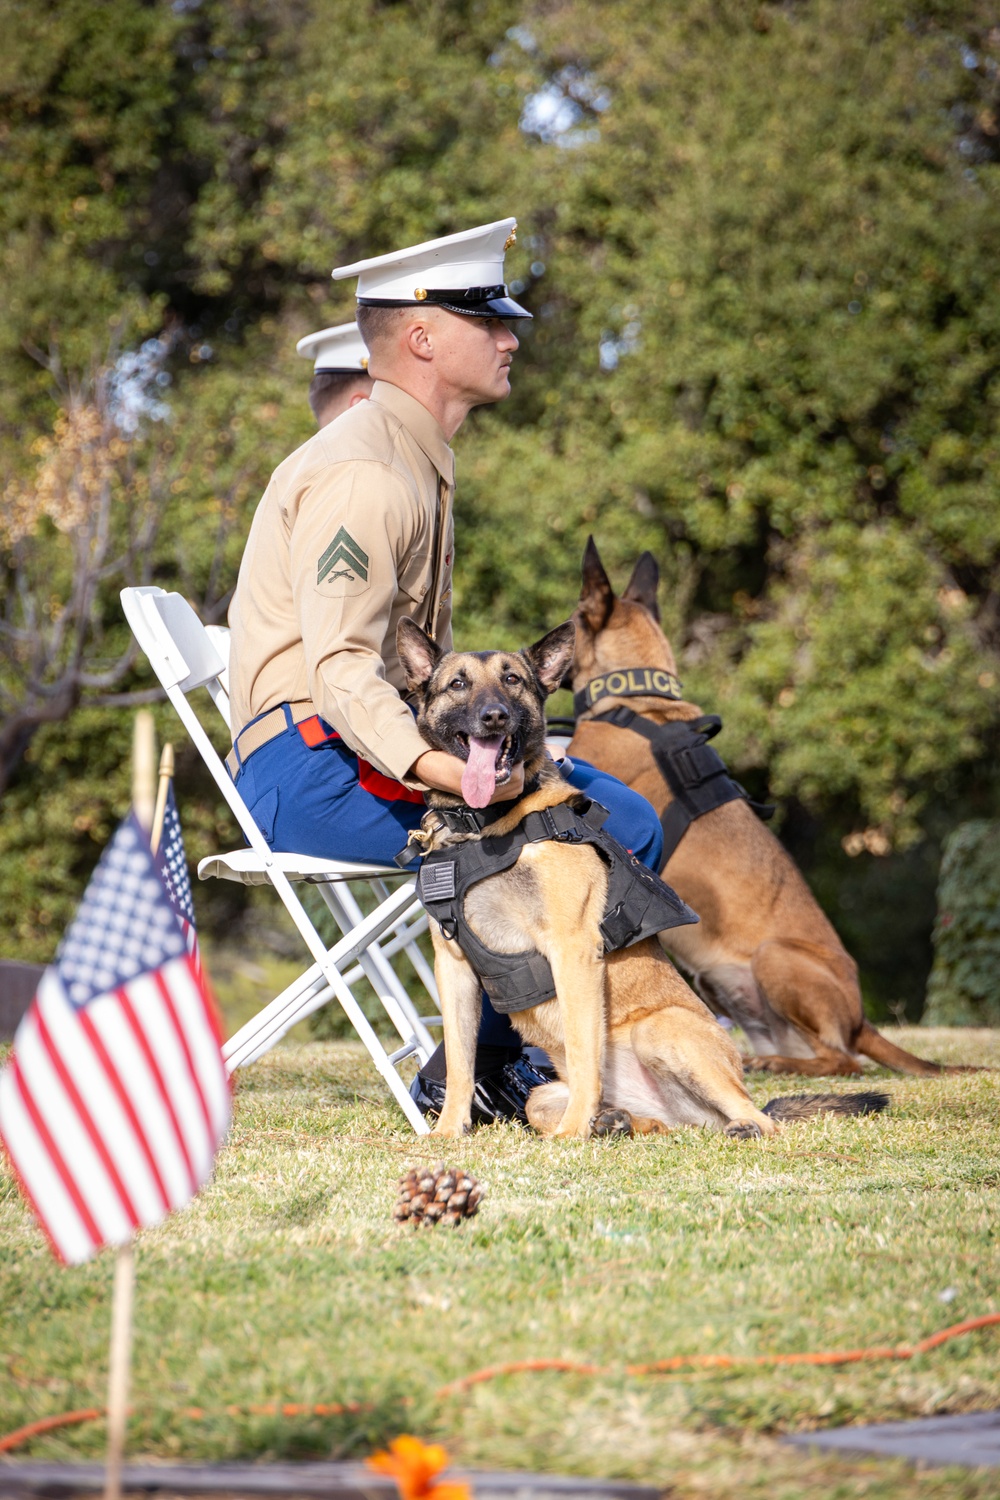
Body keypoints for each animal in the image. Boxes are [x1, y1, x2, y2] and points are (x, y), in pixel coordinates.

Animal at [395, 609, 887, 1134]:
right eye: (458, 683)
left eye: (513, 681)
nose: (494, 716)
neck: (483, 826)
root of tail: (690, 1112)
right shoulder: (454, 968)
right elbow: (461, 1063)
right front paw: (449, 1131)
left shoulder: (571, 949)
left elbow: (583, 1052)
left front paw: (571, 1134)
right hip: (547, 1095)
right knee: (636, 1120)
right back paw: (616, 1121)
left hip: (662, 1029)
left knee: (759, 1117)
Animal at [566, 540, 959, 1080]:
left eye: (572, 619)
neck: (637, 700)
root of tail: (860, 1020)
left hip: (776, 958)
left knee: (845, 1061)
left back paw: (777, 1063)